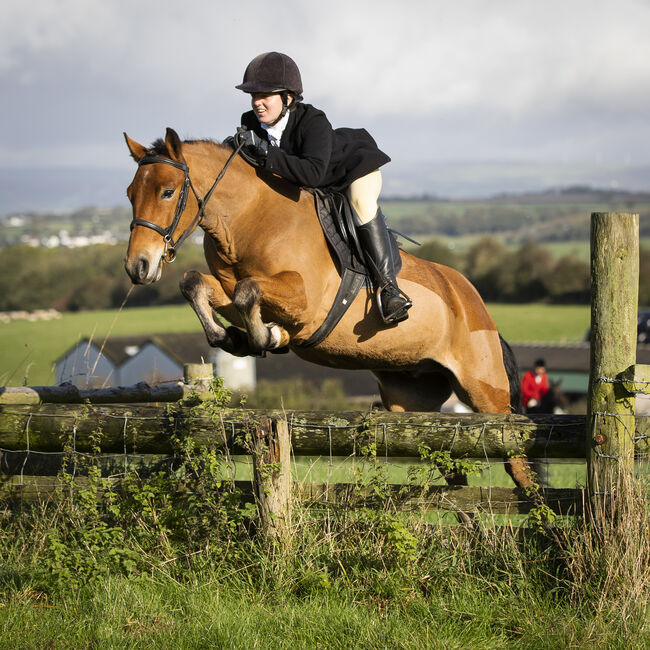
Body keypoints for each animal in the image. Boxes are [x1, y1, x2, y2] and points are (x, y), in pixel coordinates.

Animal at [121, 126, 536, 496]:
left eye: (168, 191)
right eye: (130, 194)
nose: (138, 267)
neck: (249, 219)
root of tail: (475, 304)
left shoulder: (305, 303)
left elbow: (247, 291)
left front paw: (265, 336)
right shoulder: (227, 286)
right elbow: (197, 284)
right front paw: (233, 337)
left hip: (486, 392)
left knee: (516, 460)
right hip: (412, 400)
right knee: (451, 467)